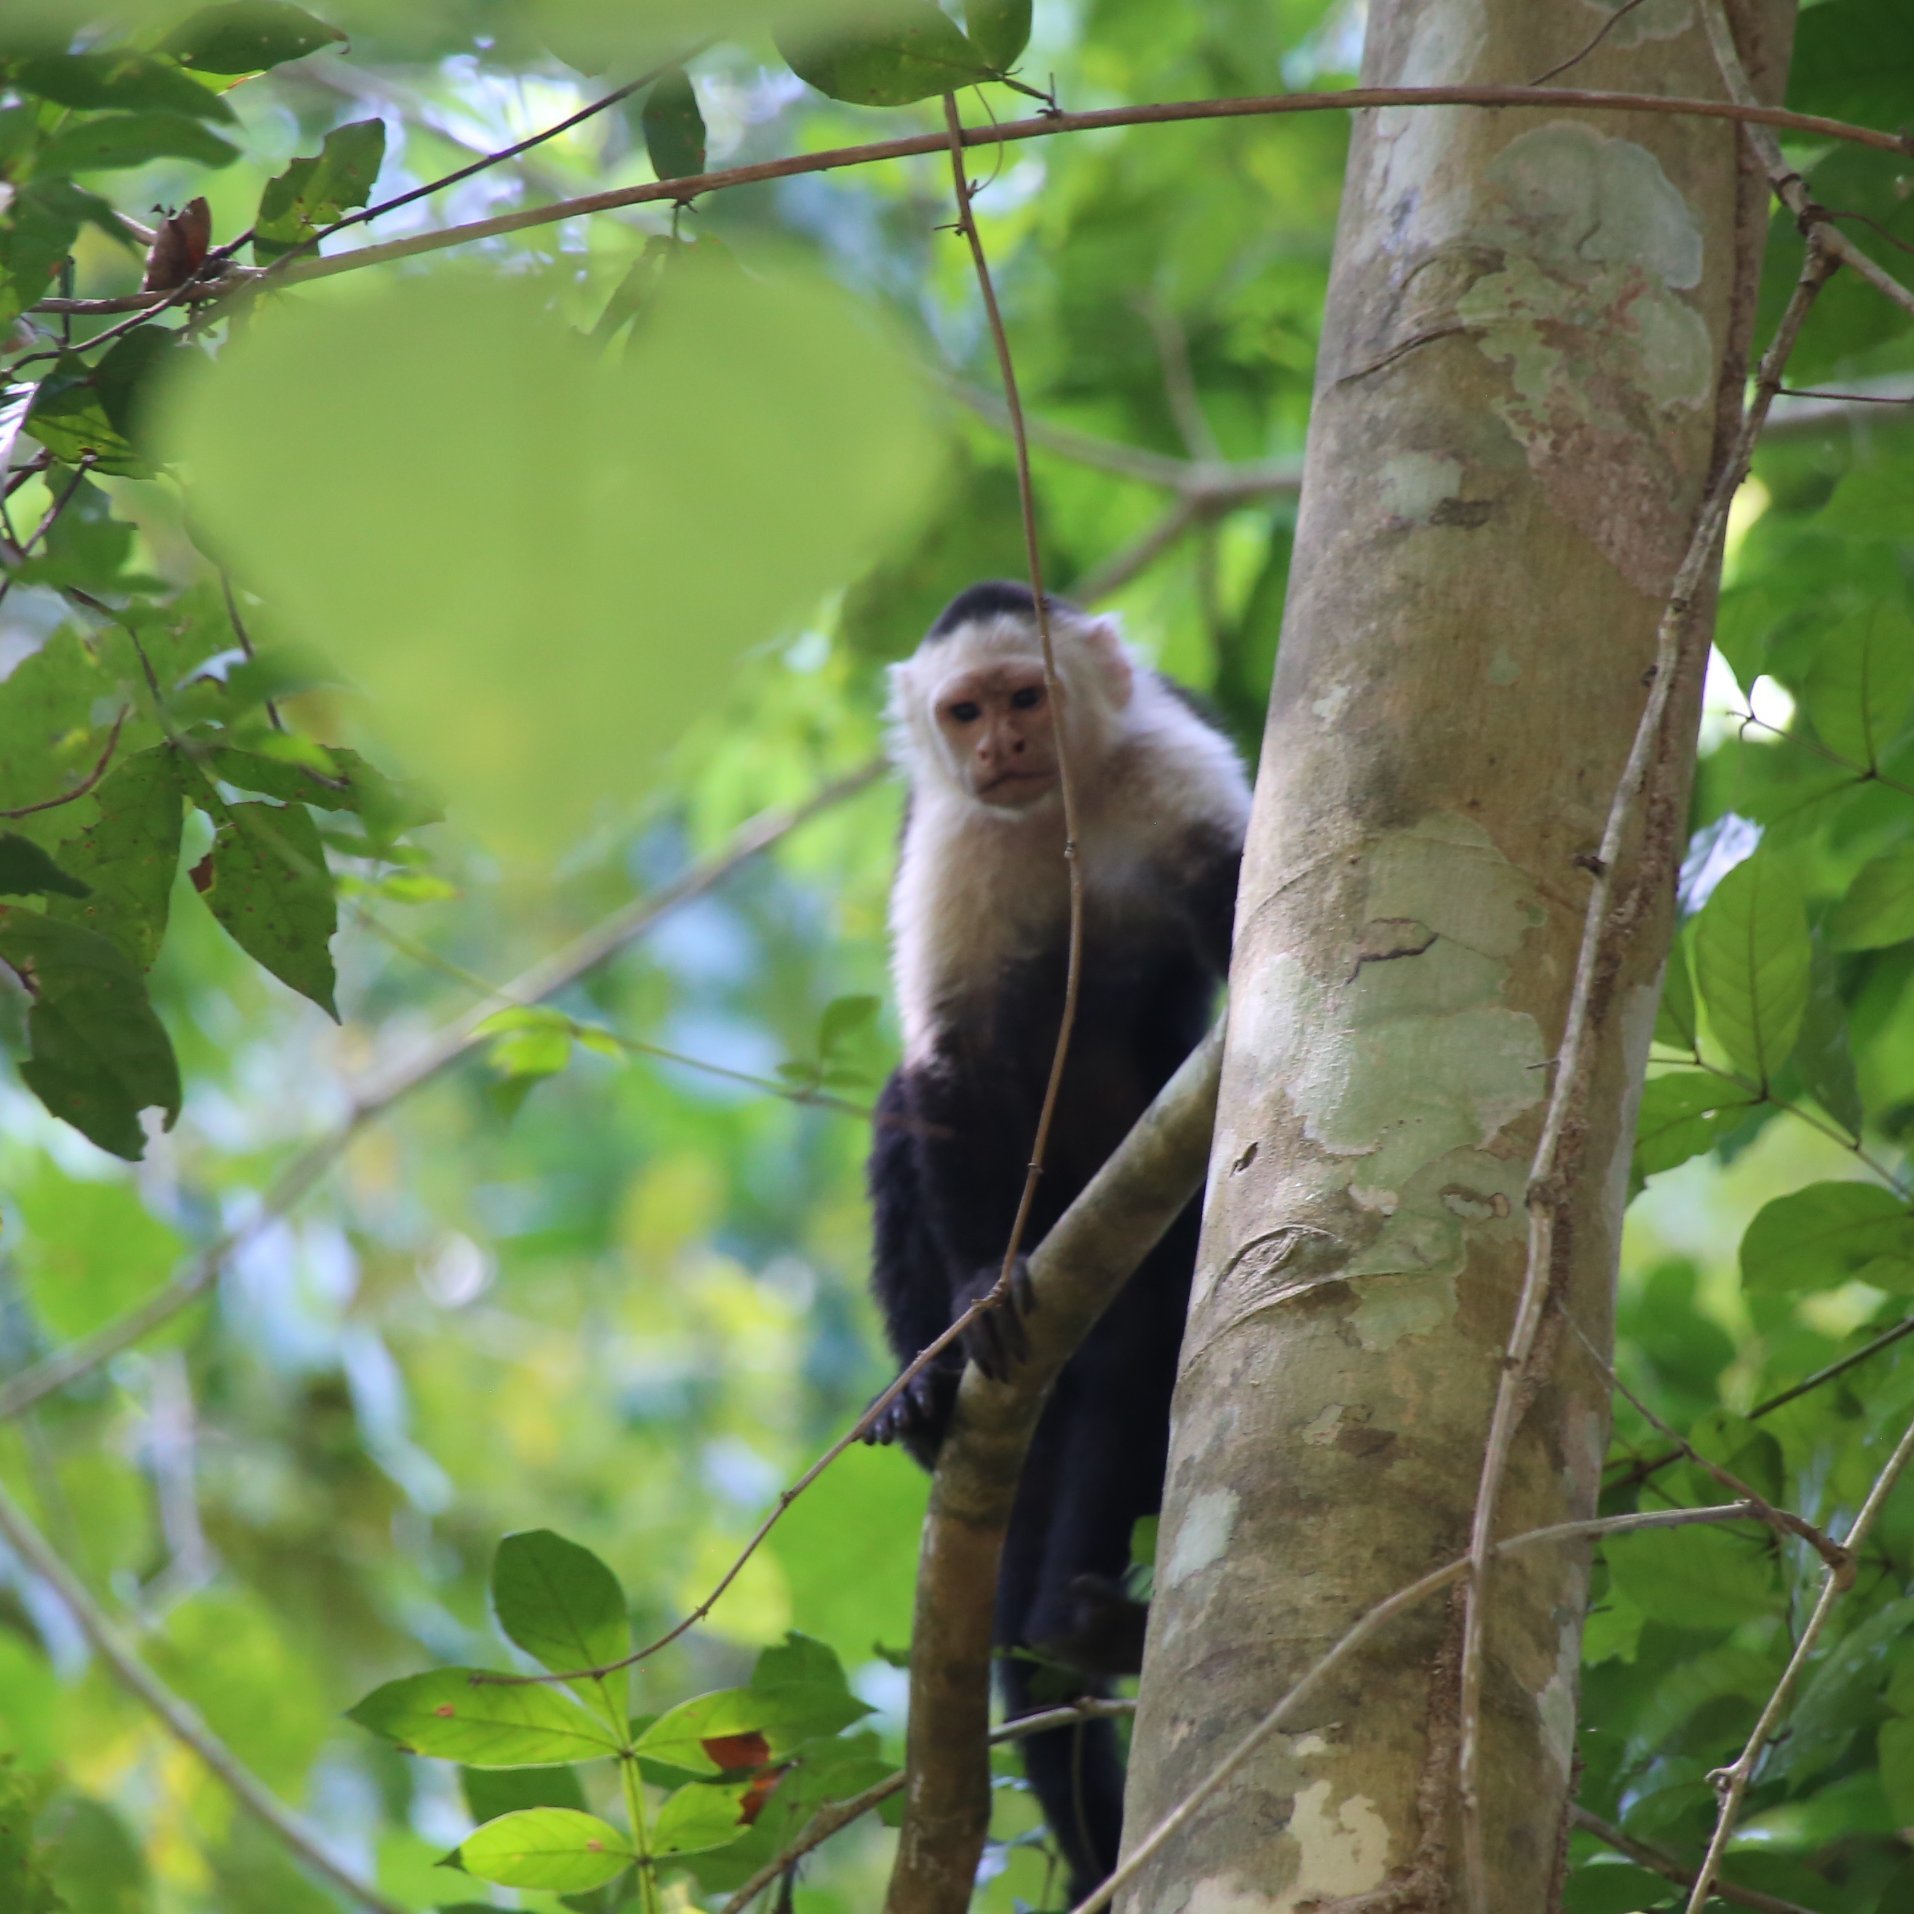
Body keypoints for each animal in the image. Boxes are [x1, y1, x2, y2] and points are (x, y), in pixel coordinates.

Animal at [861, 578, 1247, 1898]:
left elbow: (1241, 906)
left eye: (1027, 696)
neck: (1049, 818)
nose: (1000, 750)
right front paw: (980, 1292)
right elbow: (947, 1064)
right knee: (898, 1118)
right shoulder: (950, 845)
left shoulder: (1173, 766)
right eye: (964, 711)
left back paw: (1076, 1625)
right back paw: (927, 1398)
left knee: (1136, 1366)